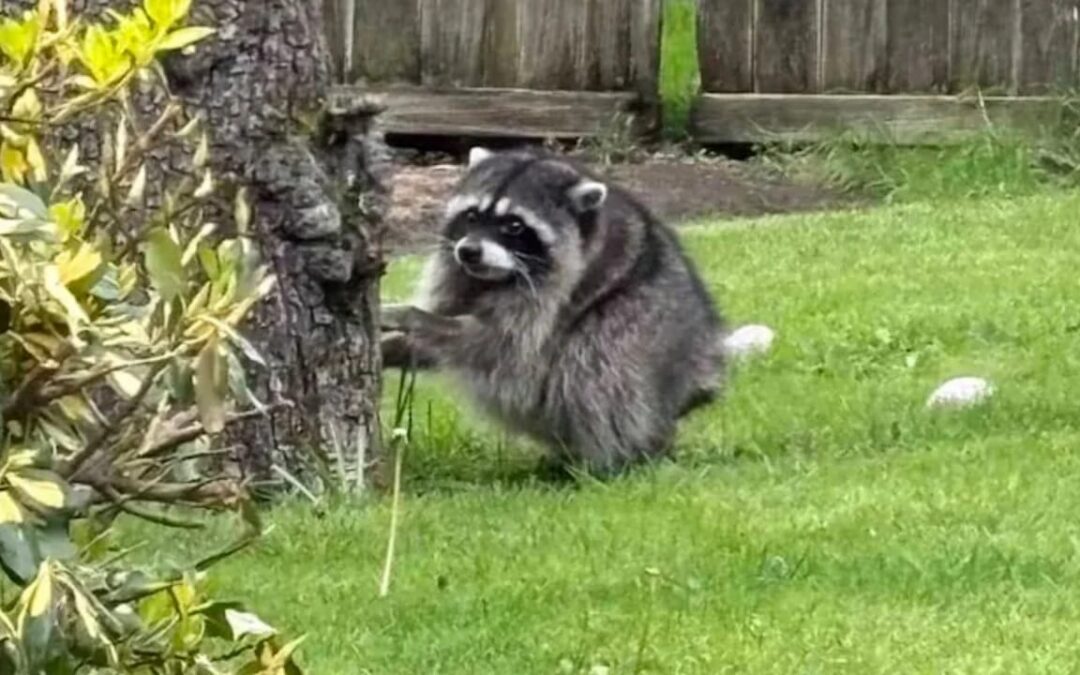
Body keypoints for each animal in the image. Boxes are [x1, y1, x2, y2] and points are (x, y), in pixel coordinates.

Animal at [381, 147, 726, 475]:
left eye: (514, 226)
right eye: (472, 216)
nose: (468, 251)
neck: (497, 278)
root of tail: (701, 373)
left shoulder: (553, 296)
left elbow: (496, 345)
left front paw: (413, 317)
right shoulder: (458, 275)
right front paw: (396, 346)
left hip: (645, 329)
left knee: (597, 361)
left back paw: (611, 459)